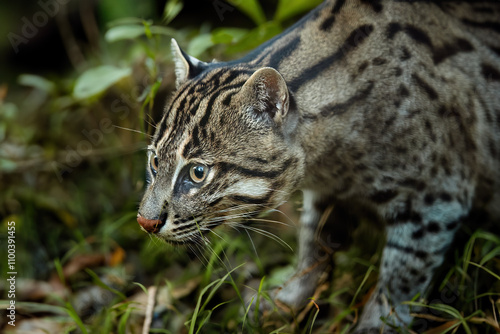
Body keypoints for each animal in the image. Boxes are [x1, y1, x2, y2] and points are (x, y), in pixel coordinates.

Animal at [136, 0, 500, 332]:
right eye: (154, 161)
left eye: (198, 173)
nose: (144, 222)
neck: (329, 161)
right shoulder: (328, 194)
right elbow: (313, 244)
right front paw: (289, 300)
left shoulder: (435, 197)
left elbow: (402, 274)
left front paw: (378, 323)